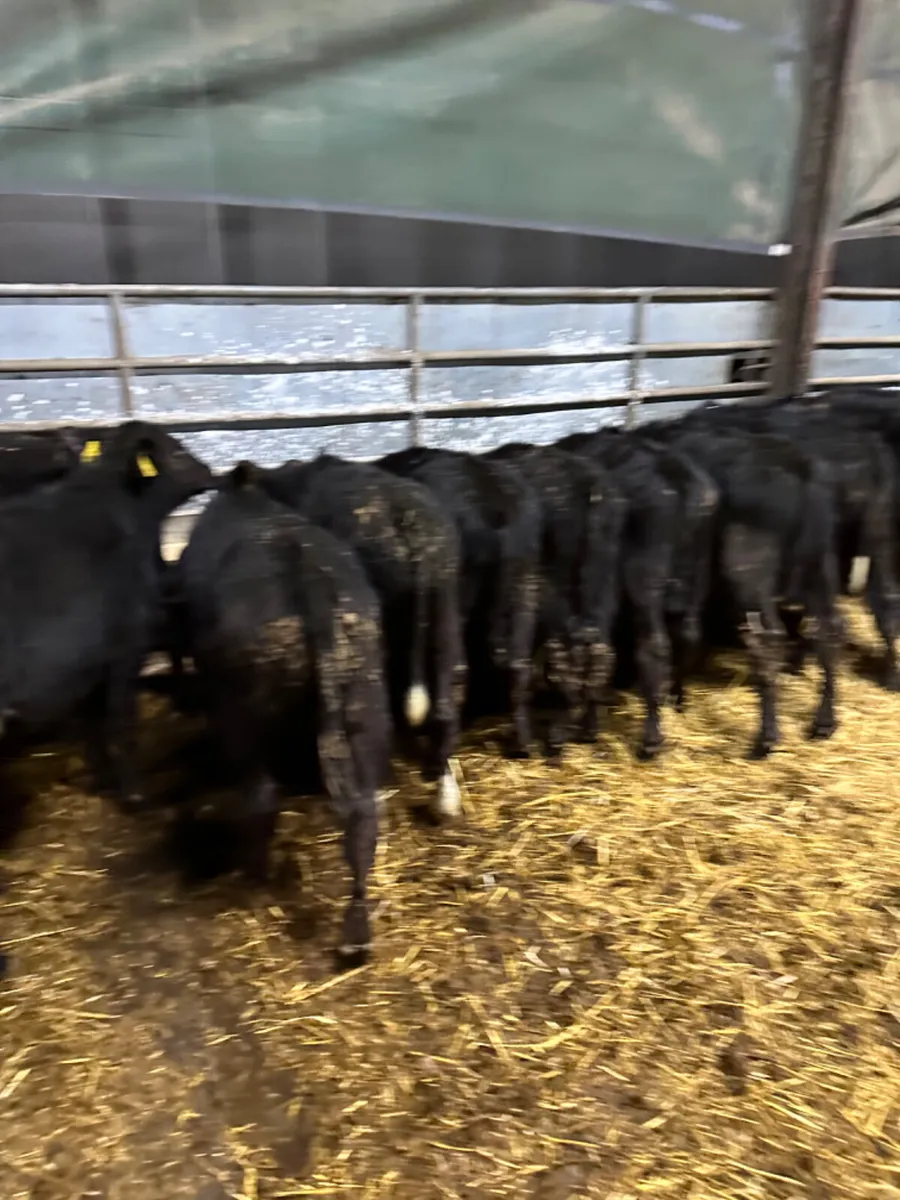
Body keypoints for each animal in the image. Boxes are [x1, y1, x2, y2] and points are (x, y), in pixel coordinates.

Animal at [177, 462, 390, 962]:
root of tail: (308, 578)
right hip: (363, 700)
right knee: (363, 812)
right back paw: (356, 928)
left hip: (242, 714)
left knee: (261, 796)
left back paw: (253, 881)